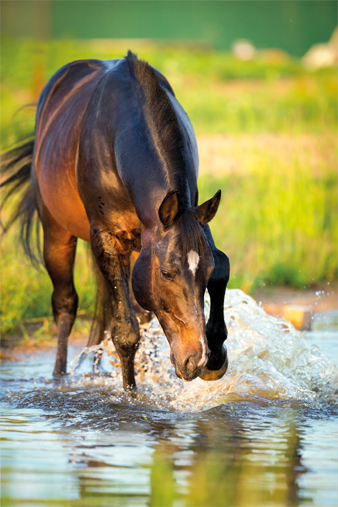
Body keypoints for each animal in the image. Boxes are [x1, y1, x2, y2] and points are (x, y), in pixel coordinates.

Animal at [1, 51, 230, 390]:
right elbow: (124, 331)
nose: (195, 359)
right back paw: (59, 376)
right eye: (166, 272)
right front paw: (131, 394)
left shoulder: (193, 218)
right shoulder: (107, 238)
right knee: (66, 304)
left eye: (205, 271)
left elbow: (221, 265)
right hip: (57, 233)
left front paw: (217, 353)